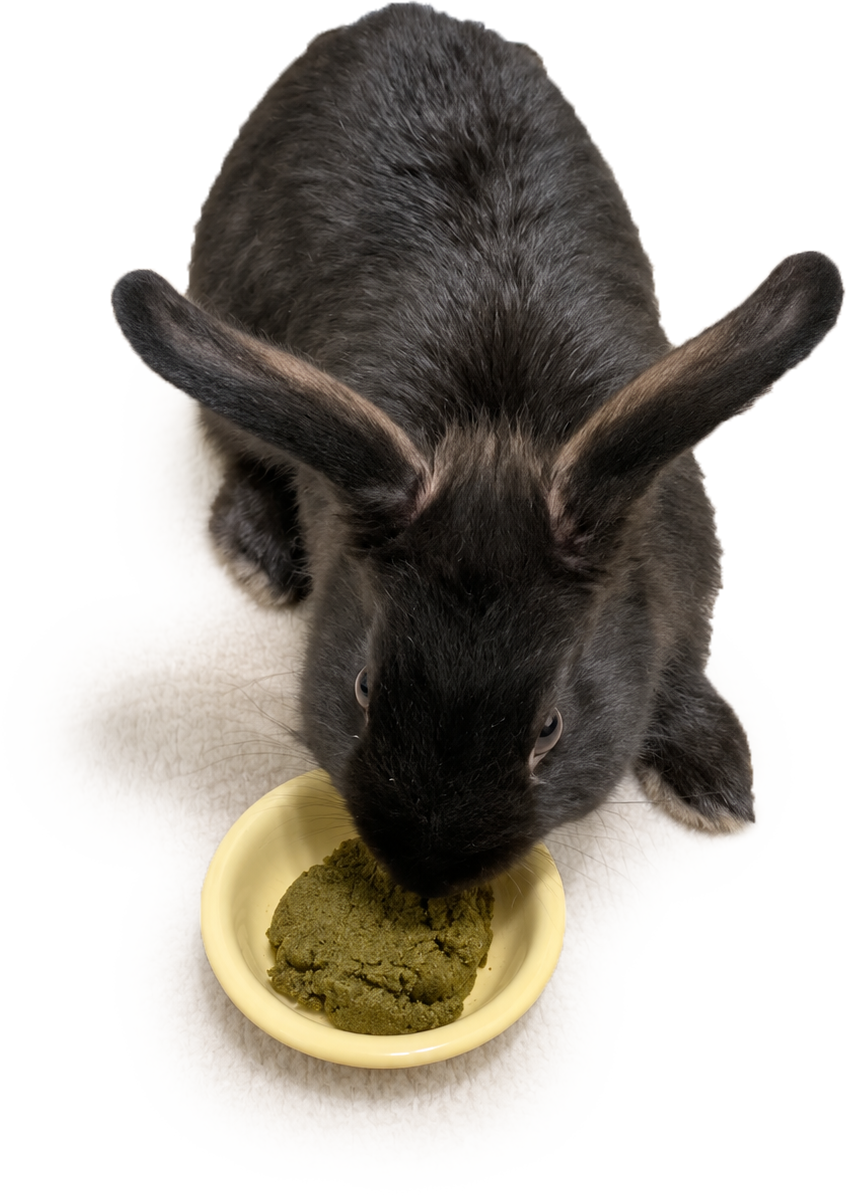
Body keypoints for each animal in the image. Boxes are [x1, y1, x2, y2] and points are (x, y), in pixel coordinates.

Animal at [112, 1, 842, 898]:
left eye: (549, 728)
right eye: (363, 687)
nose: (426, 872)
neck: (497, 419)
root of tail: (398, 18)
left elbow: (680, 665)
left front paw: (714, 785)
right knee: (242, 453)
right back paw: (263, 553)